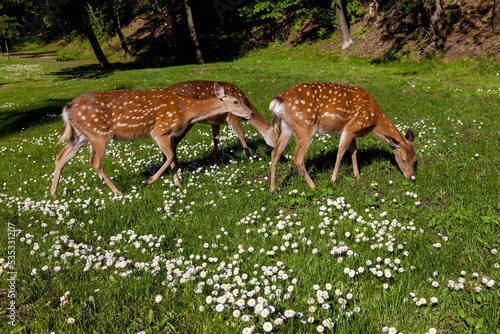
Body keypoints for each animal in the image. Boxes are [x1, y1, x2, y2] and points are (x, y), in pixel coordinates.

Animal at [51, 82, 254, 197]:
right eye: (236, 101)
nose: (251, 113)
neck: (185, 111)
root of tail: (68, 107)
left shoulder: (169, 134)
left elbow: (173, 158)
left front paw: (178, 184)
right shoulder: (160, 130)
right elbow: (171, 157)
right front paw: (149, 181)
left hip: (81, 135)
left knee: (61, 156)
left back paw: (53, 194)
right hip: (98, 134)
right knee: (94, 162)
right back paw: (118, 192)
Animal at [270, 82, 418, 194]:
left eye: (415, 160)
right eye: (403, 160)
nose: (410, 177)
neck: (374, 118)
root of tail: (279, 99)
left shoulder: (353, 131)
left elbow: (354, 151)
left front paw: (357, 176)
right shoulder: (351, 127)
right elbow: (341, 153)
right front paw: (333, 180)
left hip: (286, 127)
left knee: (275, 153)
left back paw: (273, 189)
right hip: (305, 126)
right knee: (297, 158)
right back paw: (314, 187)